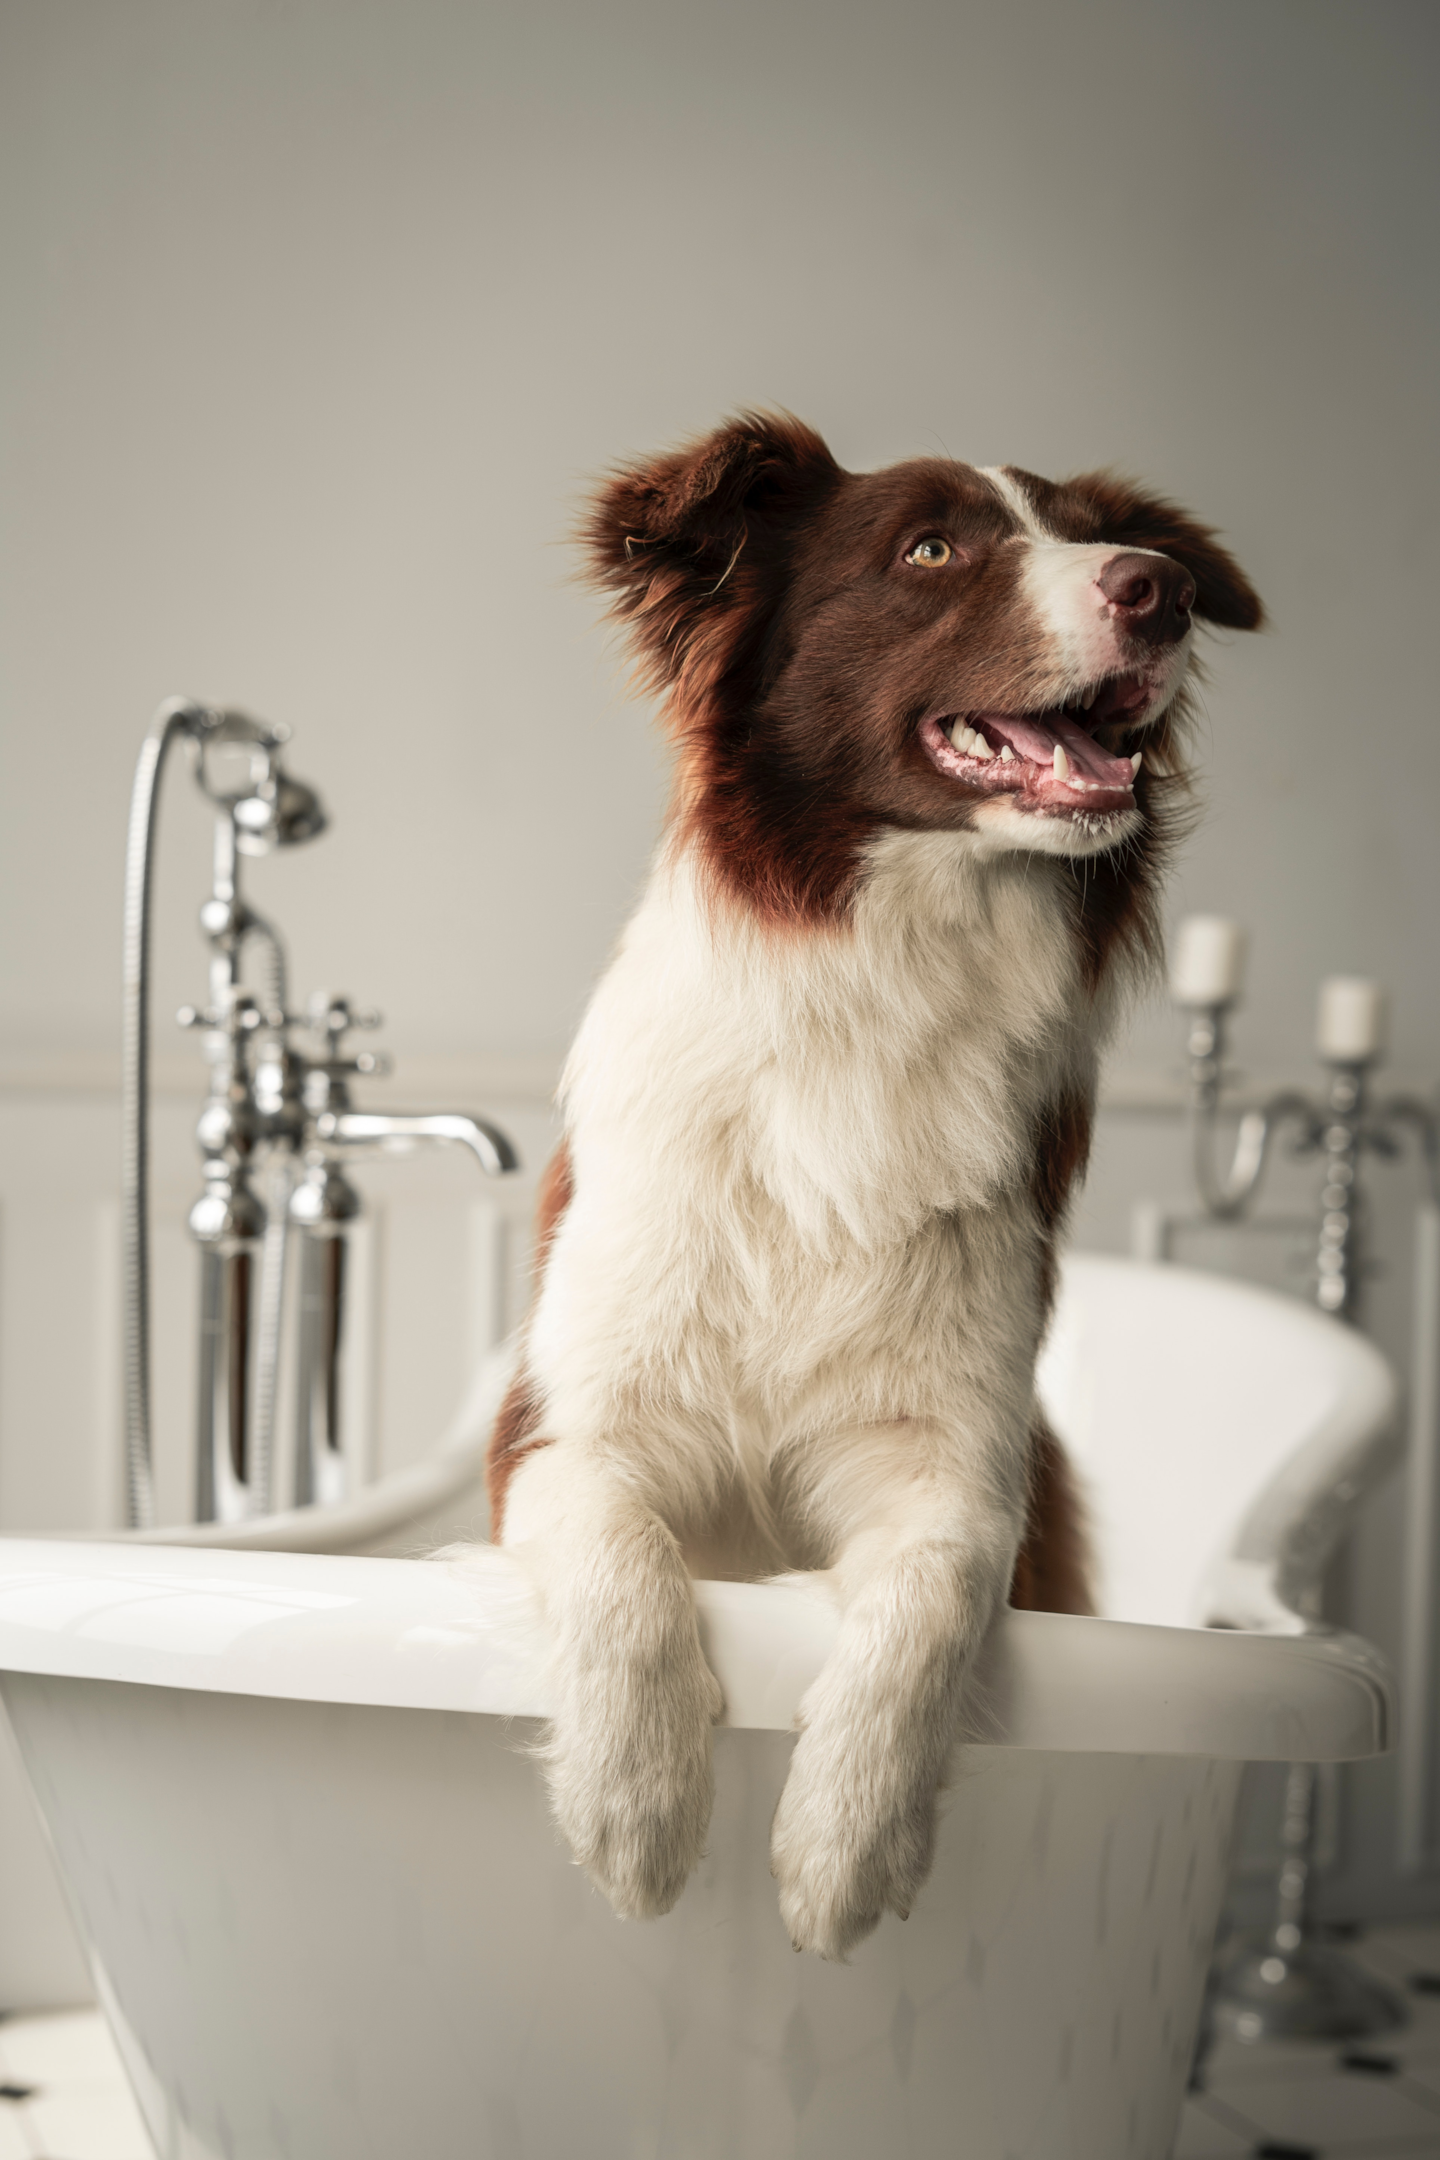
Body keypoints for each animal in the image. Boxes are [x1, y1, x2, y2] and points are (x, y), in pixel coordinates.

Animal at [487, 416, 1260, 1961]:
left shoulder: (958, 1457)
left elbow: (931, 1586)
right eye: (931, 549)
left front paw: (841, 1849)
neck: (885, 979)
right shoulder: (558, 1426)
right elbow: (617, 1550)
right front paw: (636, 1808)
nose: (1159, 589)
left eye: (1098, 533)